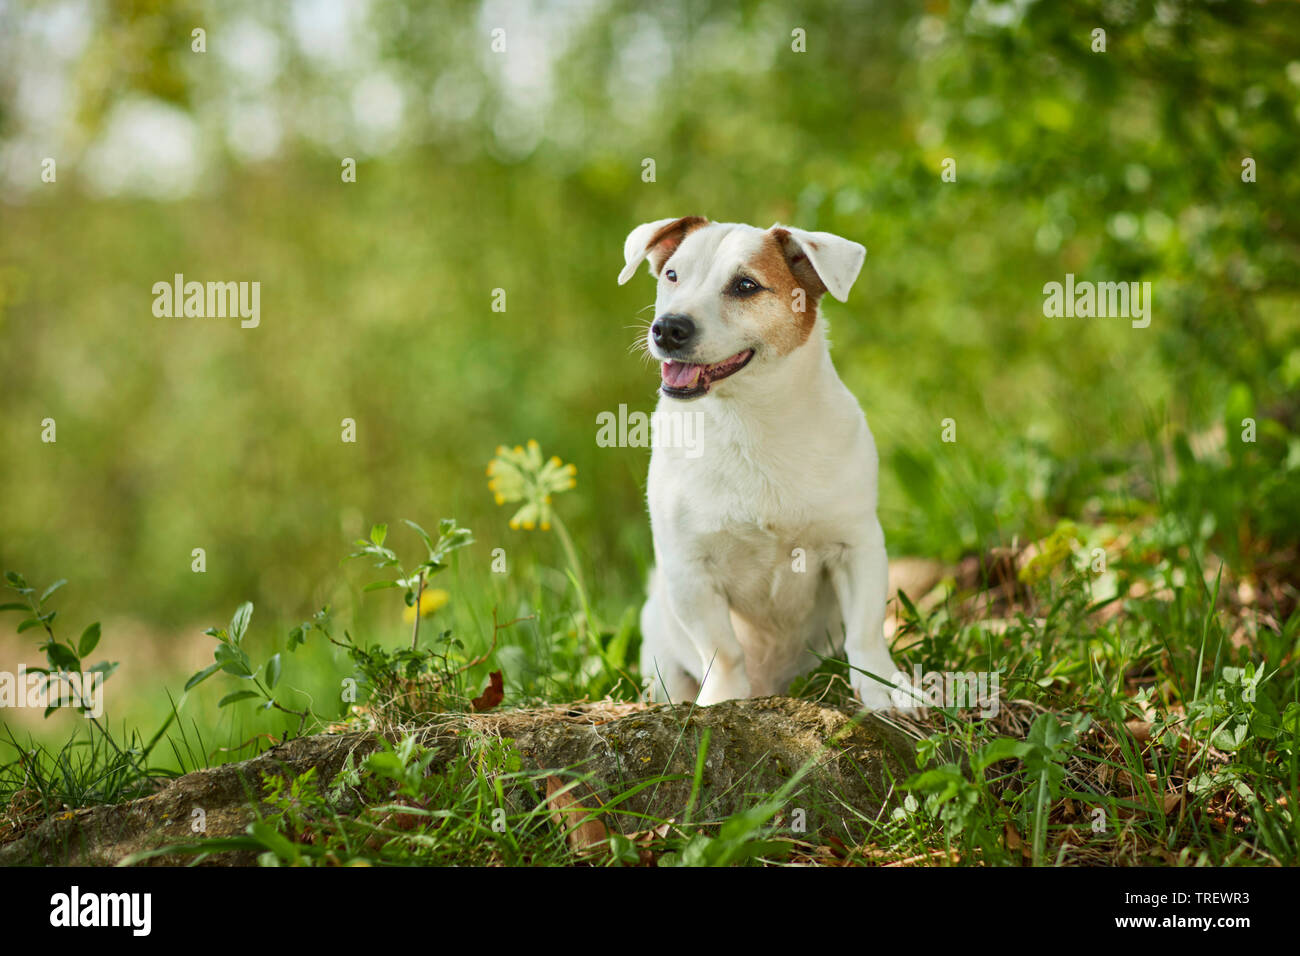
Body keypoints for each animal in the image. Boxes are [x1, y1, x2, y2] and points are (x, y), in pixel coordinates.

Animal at [621, 217, 909, 712]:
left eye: (745, 286)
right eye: (672, 275)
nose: (668, 328)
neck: (749, 423)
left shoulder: (857, 545)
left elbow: (866, 633)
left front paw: (883, 688)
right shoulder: (688, 569)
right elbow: (723, 651)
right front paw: (721, 701)